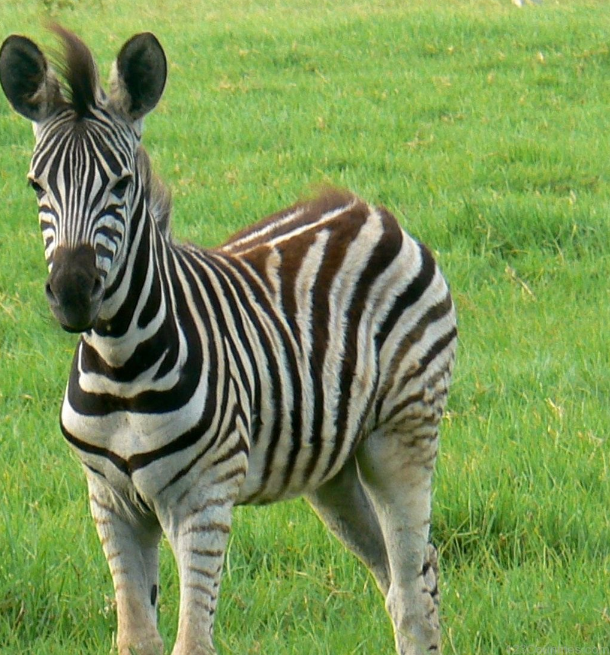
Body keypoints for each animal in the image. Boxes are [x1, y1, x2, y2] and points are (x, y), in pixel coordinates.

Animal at [0, 25, 456, 655]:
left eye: (122, 183)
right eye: (35, 184)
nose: (71, 293)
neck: (120, 363)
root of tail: (366, 209)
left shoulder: (203, 500)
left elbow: (193, 642)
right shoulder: (110, 503)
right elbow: (136, 639)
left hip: (403, 430)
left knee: (411, 587)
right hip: (334, 467)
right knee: (406, 576)